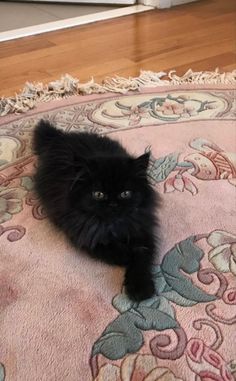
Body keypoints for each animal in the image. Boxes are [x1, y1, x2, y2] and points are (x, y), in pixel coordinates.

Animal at [32, 119, 160, 300]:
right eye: (98, 194)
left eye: (125, 193)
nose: (113, 204)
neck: (113, 227)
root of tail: (60, 136)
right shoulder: (84, 234)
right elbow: (110, 250)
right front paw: (126, 255)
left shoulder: (142, 230)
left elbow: (141, 256)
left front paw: (141, 288)